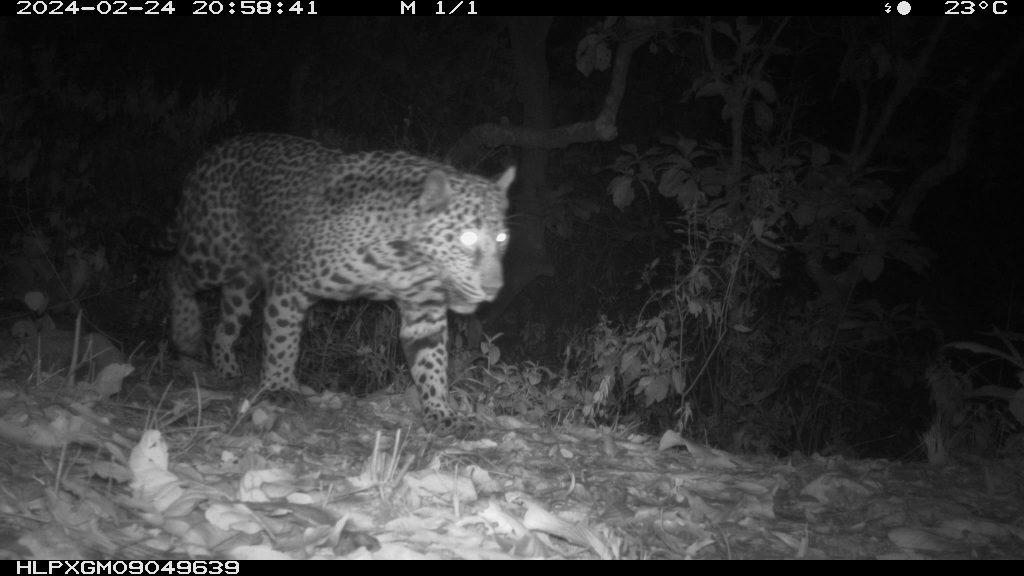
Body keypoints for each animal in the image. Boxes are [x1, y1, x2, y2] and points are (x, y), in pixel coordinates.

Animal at [165, 133, 515, 434]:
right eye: (467, 238)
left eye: (501, 238)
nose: (494, 289)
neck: (407, 260)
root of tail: (214, 150)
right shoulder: (290, 284)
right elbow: (281, 341)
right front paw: (279, 387)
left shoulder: (424, 311)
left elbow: (432, 363)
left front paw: (442, 413)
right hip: (214, 251)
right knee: (177, 271)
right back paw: (186, 334)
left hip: (244, 280)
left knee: (227, 320)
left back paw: (226, 368)